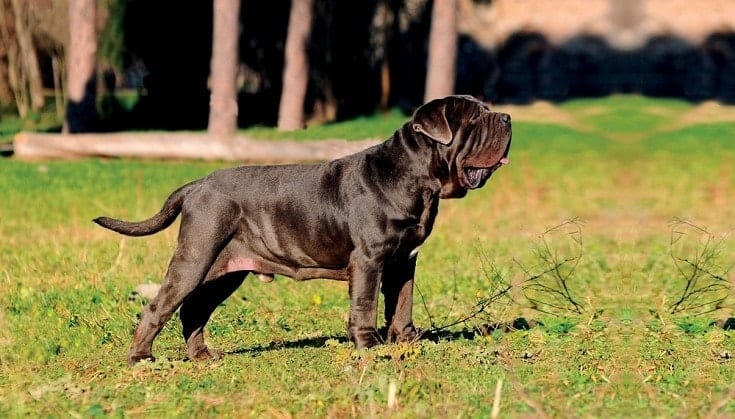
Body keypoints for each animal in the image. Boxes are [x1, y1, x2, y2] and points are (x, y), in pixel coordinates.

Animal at [95, 94, 512, 364]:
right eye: (475, 120)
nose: (507, 117)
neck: (417, 177)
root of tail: (197, 184)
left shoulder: (404, 261)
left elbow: (402, 303)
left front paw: (407, 341)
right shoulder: (369, 260)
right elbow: (366, 305)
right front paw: (369, 347)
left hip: (223, 271)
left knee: (194, 310)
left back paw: (202, 356)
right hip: (195, 258)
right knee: (159, 306)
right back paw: (141, 358)